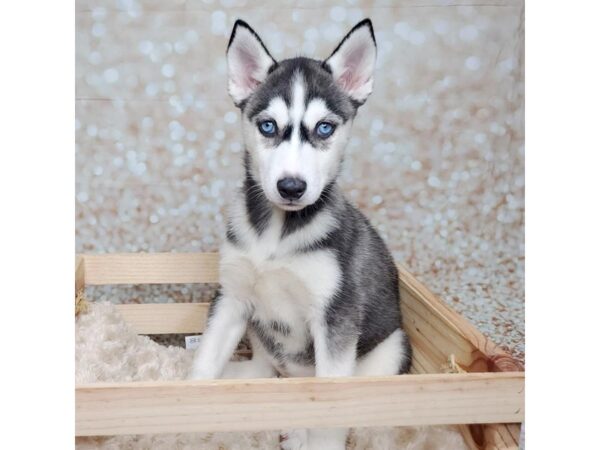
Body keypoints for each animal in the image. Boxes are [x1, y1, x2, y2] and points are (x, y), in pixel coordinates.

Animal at [190, 18, 410, 450]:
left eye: (324, 128)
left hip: (389, 351)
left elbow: (328, 412)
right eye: (268, 126)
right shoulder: (232, 298)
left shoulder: (335, 315)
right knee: (263, 370)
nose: (291, 187)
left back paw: (297, 433)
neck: (276, 236)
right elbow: (205, 361)